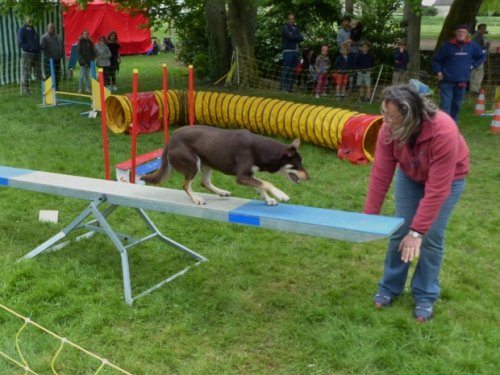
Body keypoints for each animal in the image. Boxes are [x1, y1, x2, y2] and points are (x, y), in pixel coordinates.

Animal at [141, 125, 308, 206]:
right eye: (297, 165)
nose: (309, 177)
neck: (261, 149)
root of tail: (171, 139)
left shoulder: (250, 175)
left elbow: (260, 186)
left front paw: (268, 199)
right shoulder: (242, 177)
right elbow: (266, 183)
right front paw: (280, 194)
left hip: (207, 163)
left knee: (204, 182)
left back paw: (221, 192)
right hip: (194, 164)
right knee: (186, 185)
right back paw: (196, 199)